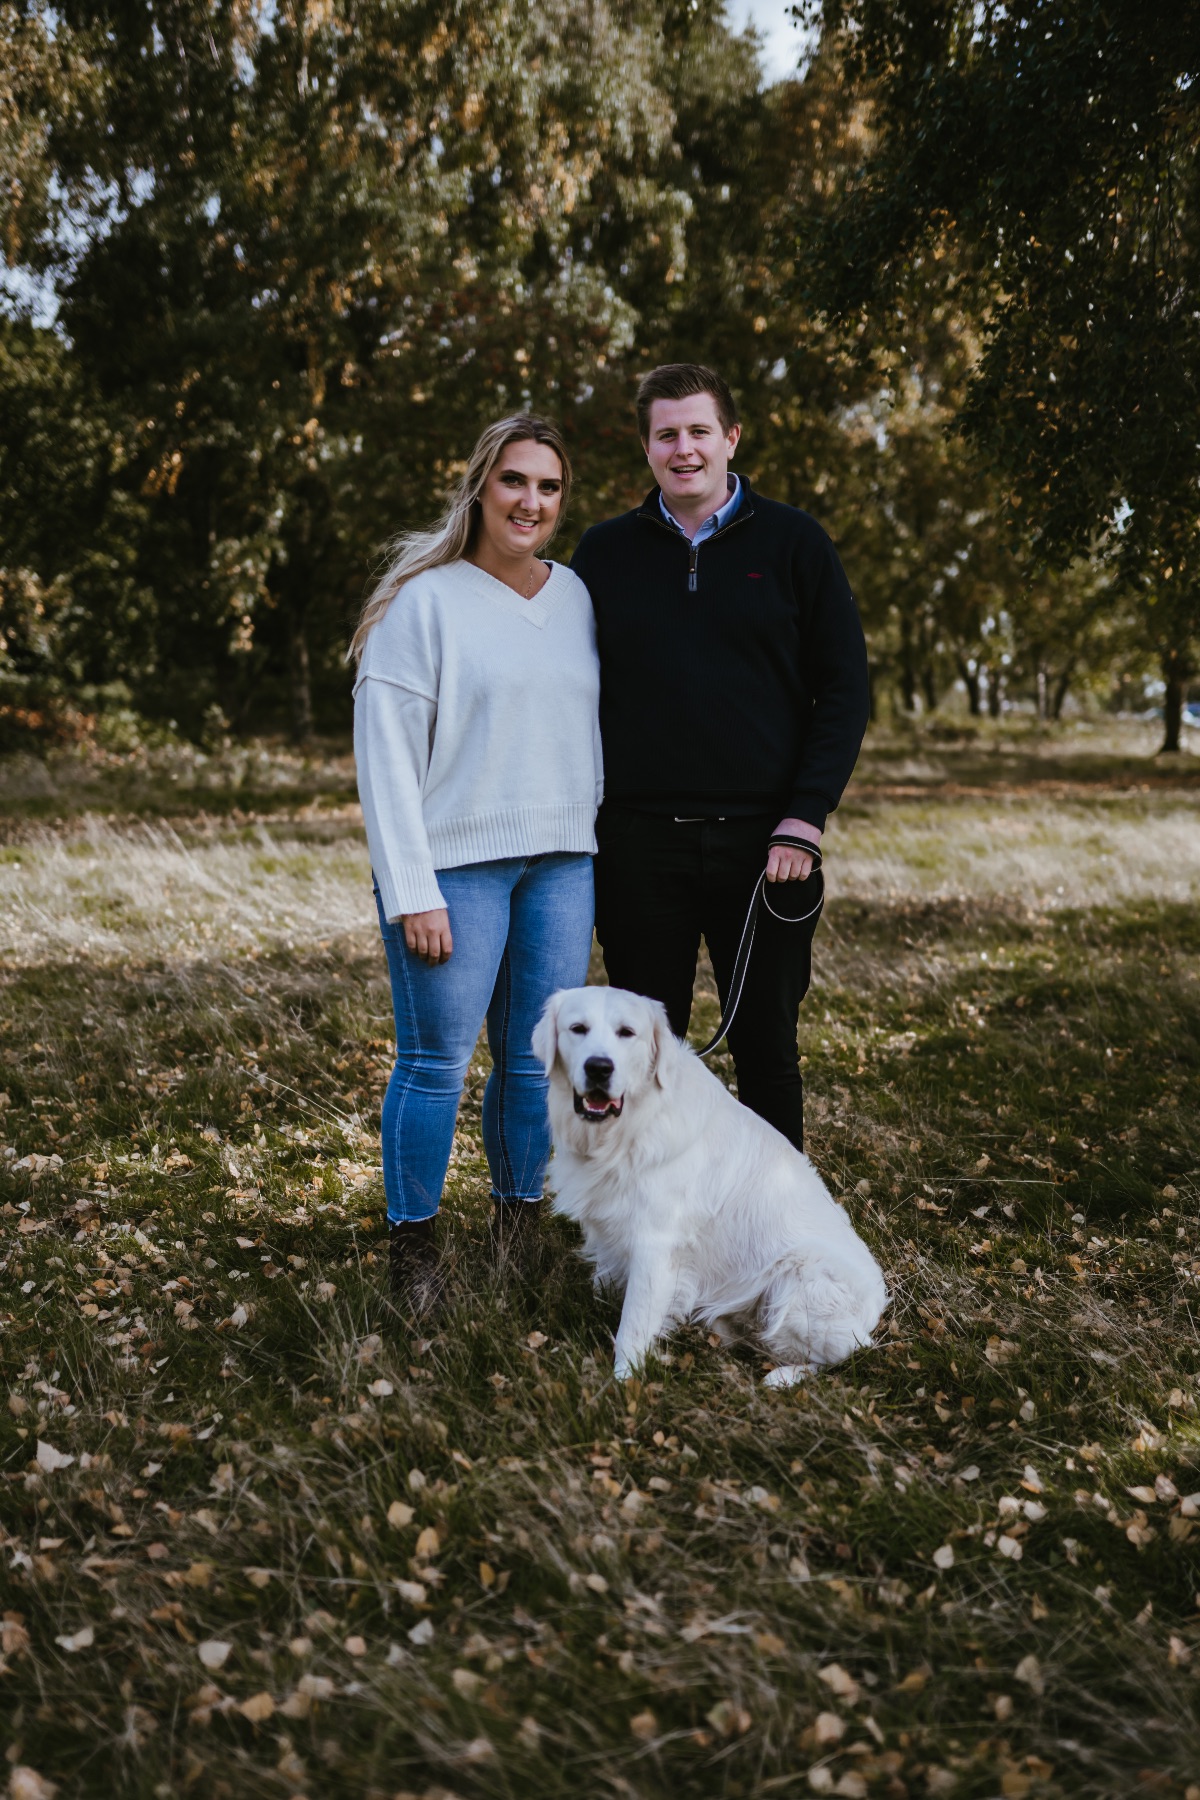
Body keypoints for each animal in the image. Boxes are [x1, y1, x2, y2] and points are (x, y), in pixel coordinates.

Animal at [532, 993, 881, 1382]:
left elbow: (633, 1324)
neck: (627, 1128)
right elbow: (606, 1282)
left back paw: (783, 1376)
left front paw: (623, 1382)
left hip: (800, 1274)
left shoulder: (655, 1243)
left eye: (627, 1032)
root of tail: (876, 1311)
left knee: (845, 1353)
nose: (598, 1068)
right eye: (578, 1028)